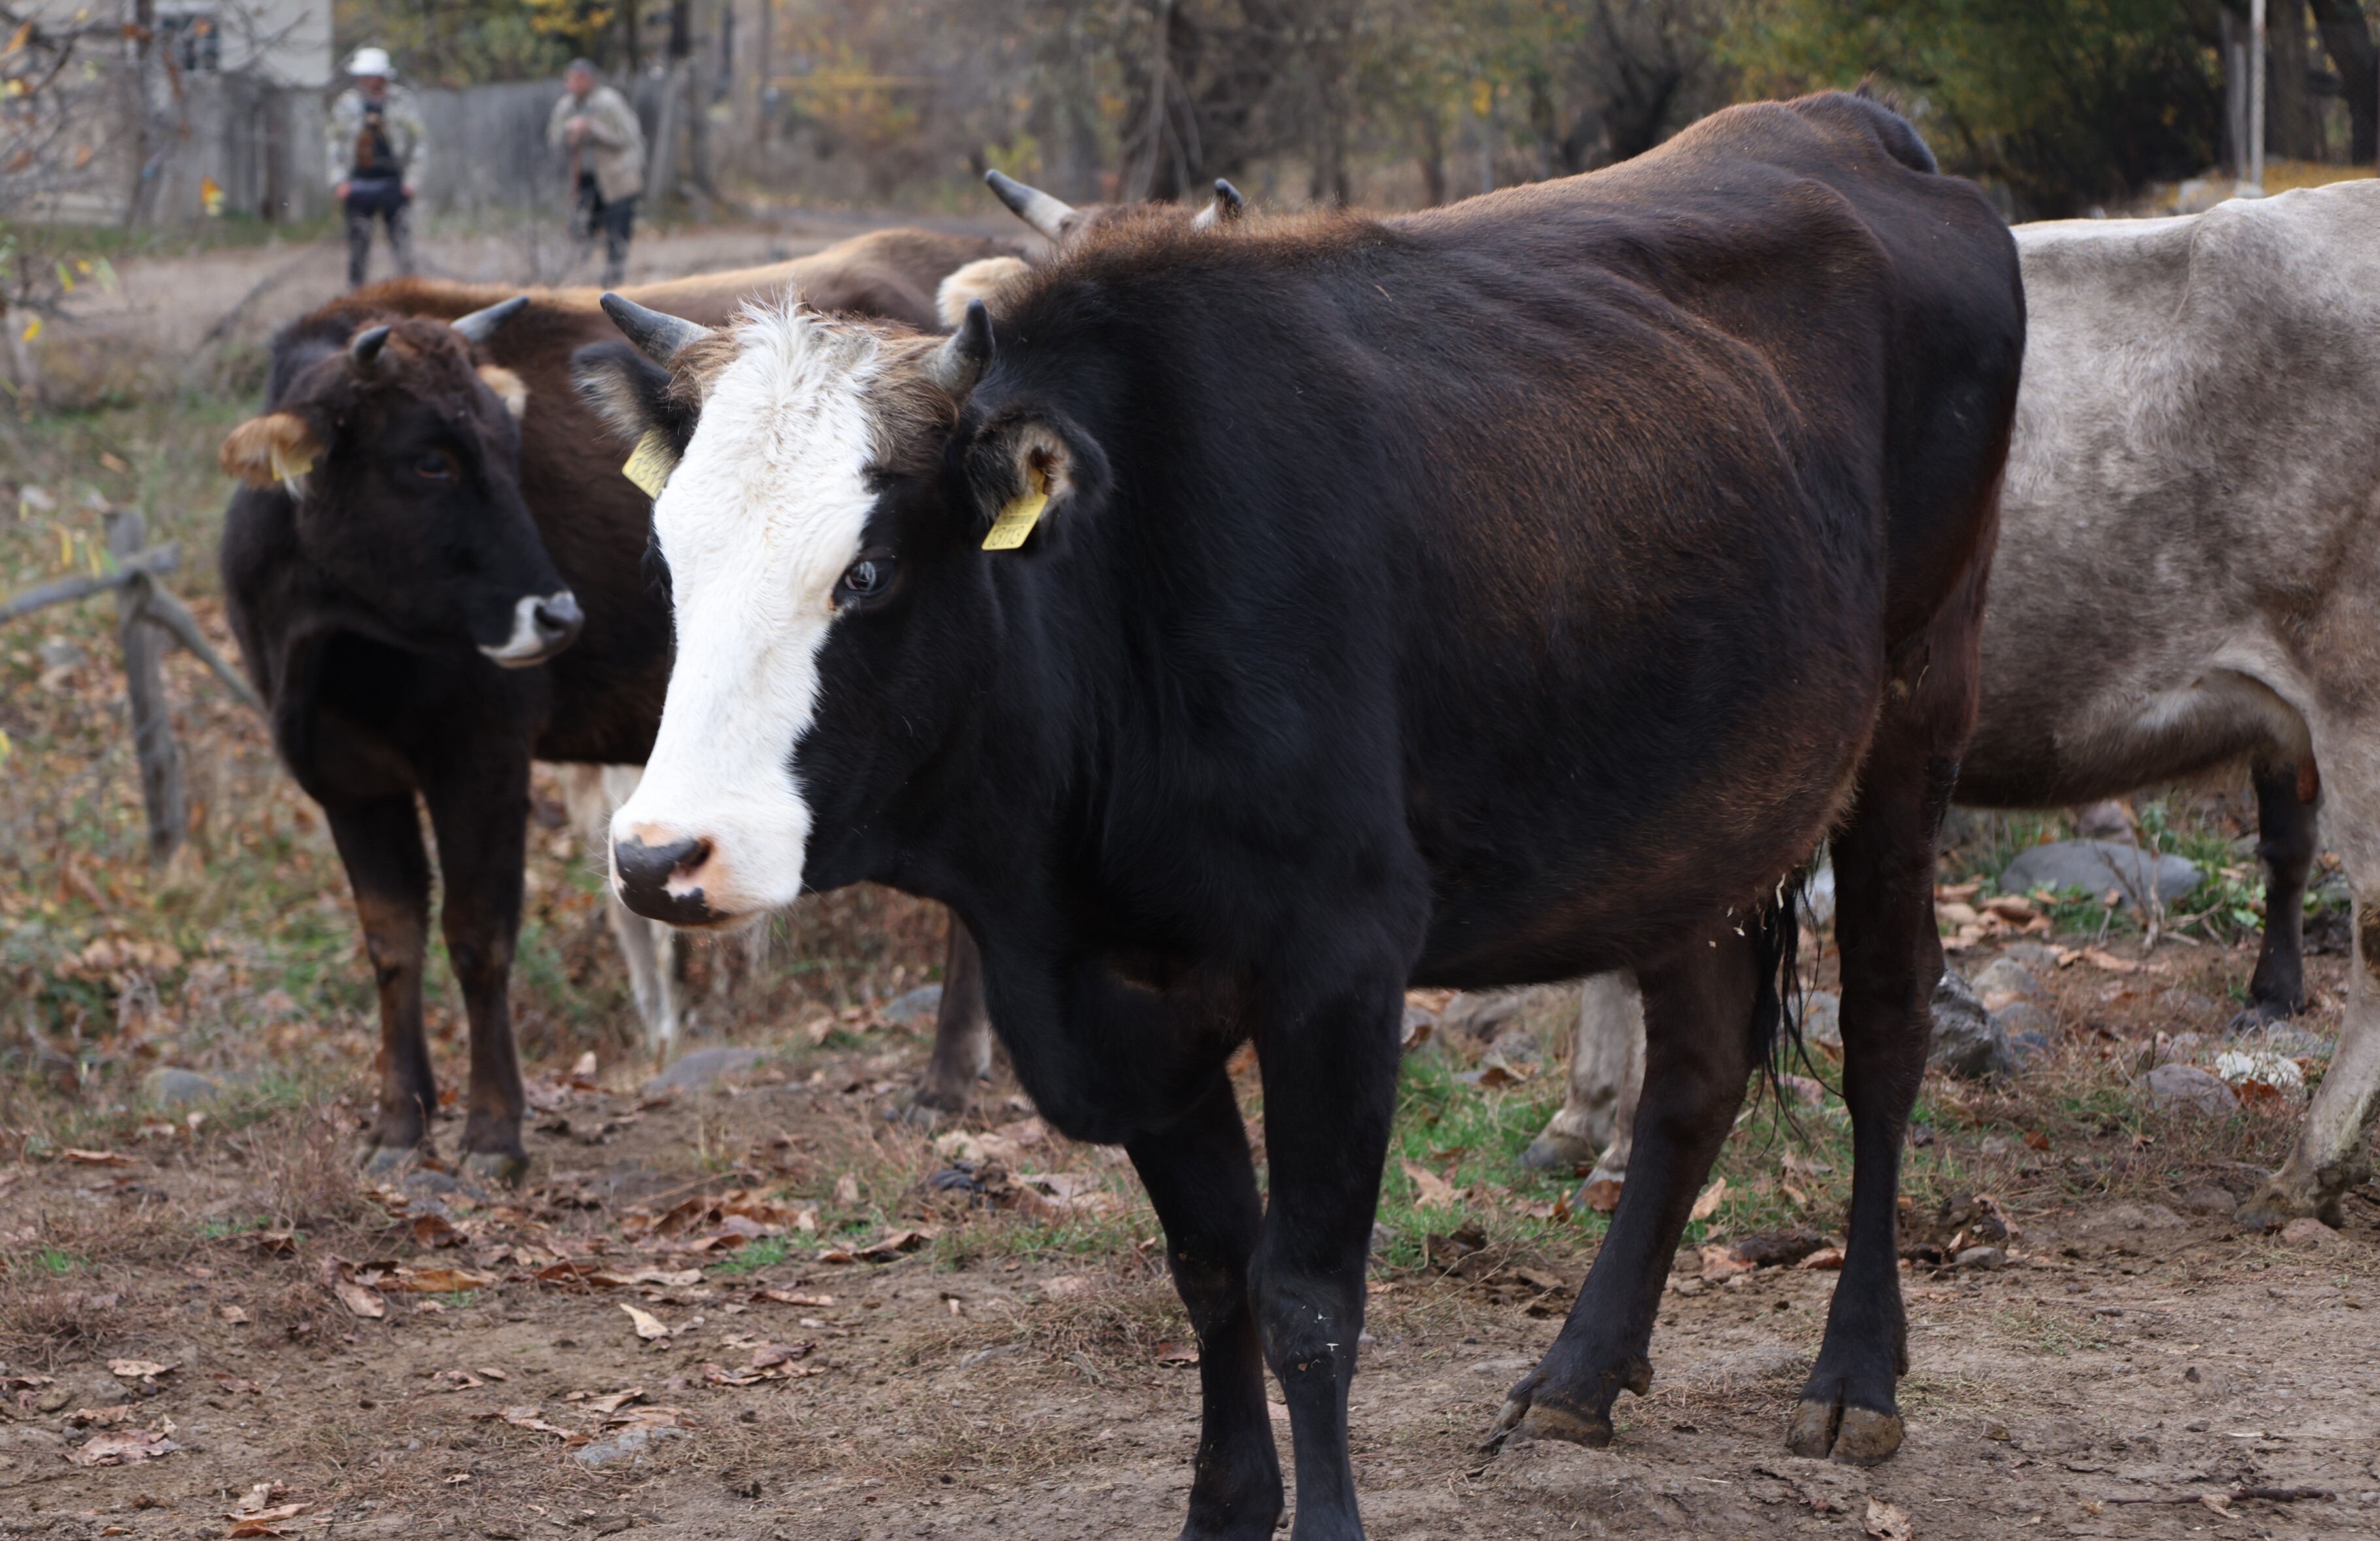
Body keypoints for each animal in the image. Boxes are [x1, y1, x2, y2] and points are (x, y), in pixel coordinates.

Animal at [211, 222, 1014, 1176]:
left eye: (504, 445)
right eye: (428, 461)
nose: (555, 613)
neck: (327, 642)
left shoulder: (482, 754)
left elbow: (476, 937)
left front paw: (493, 1133)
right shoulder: (345, 775)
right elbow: (392, 942)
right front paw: (398, 1126)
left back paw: (947, 1078)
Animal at [585, 93, 2018, 1534]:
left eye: (866, 571)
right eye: (666, 559)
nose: (661, 856)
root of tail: (1844, 120)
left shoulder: (1336, 963)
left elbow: (1308, 1293)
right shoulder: (1132, 989)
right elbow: (1211, 1262)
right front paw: (1223, 1504)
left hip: (1916, 715)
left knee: (1884, 1028)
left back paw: (1852, 1374)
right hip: (1695, 811)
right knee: (1699, 1063)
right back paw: (1580, 1370)